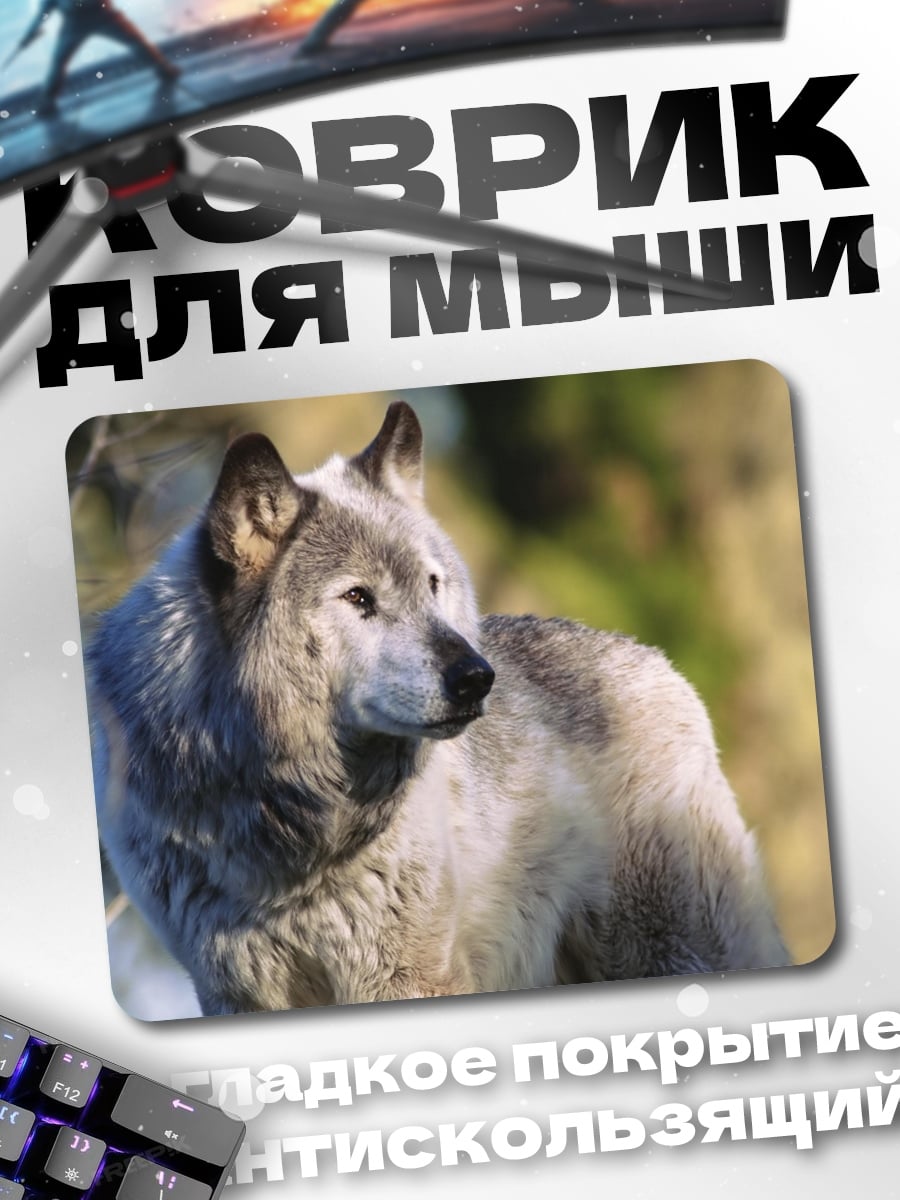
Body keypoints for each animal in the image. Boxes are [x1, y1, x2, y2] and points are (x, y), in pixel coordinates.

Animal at [87, 401, 789, 1016]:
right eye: (358, 597)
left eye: (432, 585)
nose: (478, 679)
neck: (286, 826)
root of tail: (658, 661)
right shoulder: (234, 991)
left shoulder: (403, 976)